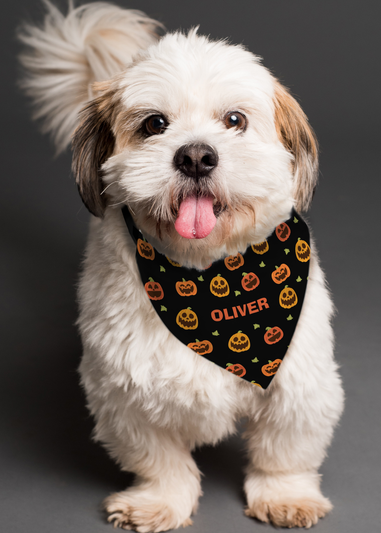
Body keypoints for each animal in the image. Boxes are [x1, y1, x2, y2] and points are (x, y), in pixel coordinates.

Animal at [18, 2, 344, 528]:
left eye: (234, 119)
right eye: (154, 124)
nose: (195, 155)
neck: (205, 273)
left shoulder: (300, 383)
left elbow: (284, 451)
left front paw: (285, 495)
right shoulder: (123, 392)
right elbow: (160, 459)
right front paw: (159, 501)